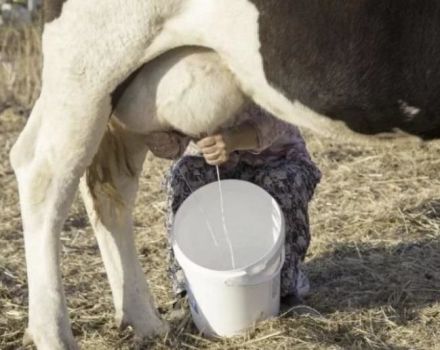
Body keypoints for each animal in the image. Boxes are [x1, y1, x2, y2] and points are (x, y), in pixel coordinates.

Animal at [8, 0, 440, 350]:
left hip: (126, 90)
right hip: (90, 64)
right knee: (42, 171)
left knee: (110, 188)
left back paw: (146, 323)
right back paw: (54, 335)